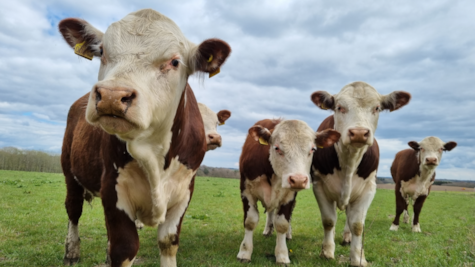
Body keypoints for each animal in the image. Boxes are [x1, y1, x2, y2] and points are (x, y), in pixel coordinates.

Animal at [58, 8, 232, 267]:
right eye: (102, 52)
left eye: (174, 61)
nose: (111, 95)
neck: (154, 154)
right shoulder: (113, 188)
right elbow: (124, 247)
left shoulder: (184, 192)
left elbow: (168, 242)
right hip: (70, 172)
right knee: (73, 209)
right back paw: (72, 251)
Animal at [236, 120, 340, 266]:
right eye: (277, 148)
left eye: (313, 149)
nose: (298, 180)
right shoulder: (246, 192)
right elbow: (250, 221)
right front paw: (244, 252)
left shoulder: (289, 197)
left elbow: (282, 224)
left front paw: (282, 255)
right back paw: (267, 230)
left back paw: (288, 235)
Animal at [310, 82, 410, 267]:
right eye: (339, 107)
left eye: (377, 108)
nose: (358, 132)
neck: (349, 160)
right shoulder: (318, 185)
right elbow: (328, 221)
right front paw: (327, 251)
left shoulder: (368, 189)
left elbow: (357, 225)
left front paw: (358, 258)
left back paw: (347, 237)